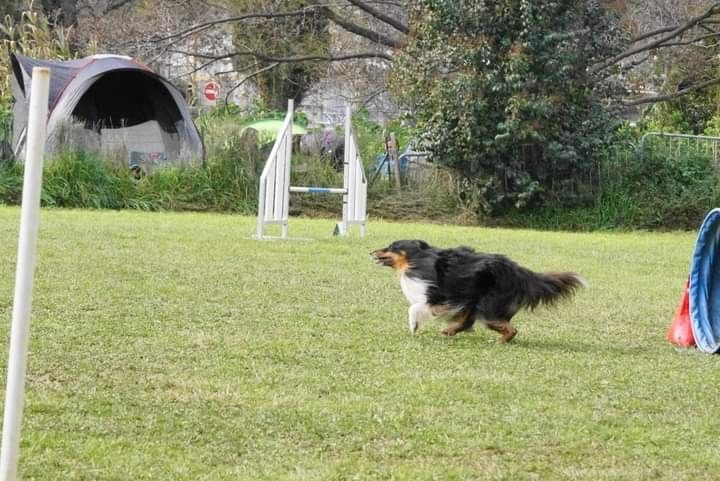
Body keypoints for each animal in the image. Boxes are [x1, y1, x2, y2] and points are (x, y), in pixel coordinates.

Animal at [371, 240, 586, 342]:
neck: (417, 259)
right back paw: (450, 331)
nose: (371, 251)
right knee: (468, 321)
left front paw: (413, 325)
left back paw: (500, 342)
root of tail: (518, 271)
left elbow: (414, 308)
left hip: (488, 306)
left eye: (392, 246)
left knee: (510, 328)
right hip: (477, 302)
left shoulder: (439, 297)